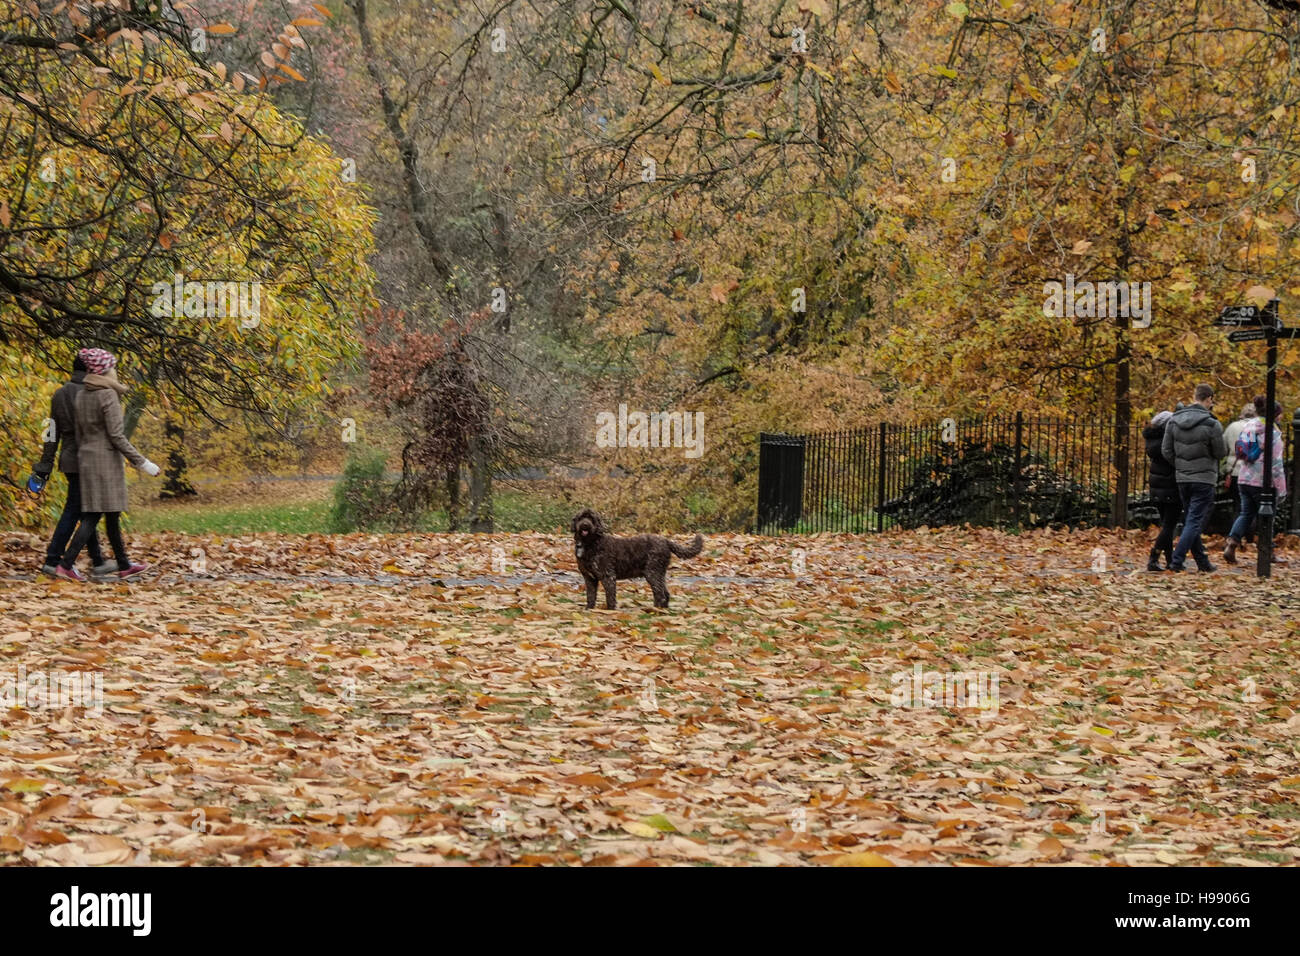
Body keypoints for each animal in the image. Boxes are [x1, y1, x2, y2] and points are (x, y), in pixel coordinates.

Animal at [574, 512, 707, 608]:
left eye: (591, 519)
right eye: (581, 518)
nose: (585, 525)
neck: (591, 543)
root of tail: (666, 541)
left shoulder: (608, 576)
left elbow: (610, 598)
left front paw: (610, 611)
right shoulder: (589, 578)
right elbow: (590, 597)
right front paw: (589, 609)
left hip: (652, 573)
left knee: (661, 594)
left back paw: (656, 611)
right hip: (658, 573)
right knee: (665, 594)